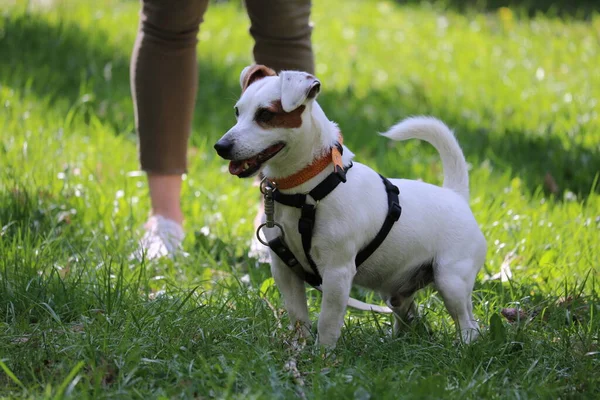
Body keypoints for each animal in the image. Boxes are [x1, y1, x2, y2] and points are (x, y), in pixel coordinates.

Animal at [216, 65, 488, 346]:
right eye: (237, 112)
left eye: (266, 115)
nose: (221, 147)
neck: (307, 191)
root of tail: (456, 195)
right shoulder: (285, 270)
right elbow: (298, 316)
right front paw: (300, 348)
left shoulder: (337, 273)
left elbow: (327, 322)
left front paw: (322, 354)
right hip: (399, 291)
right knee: (409, 316)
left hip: (451, 280)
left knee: (469, 323)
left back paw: (463, 346)